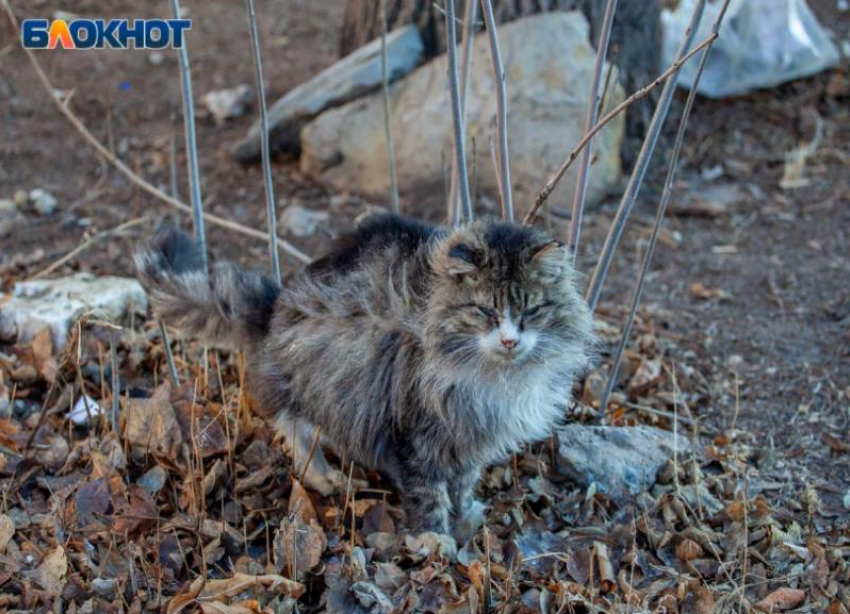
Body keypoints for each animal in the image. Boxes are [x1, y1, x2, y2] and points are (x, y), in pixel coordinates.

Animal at [136, 215, 592, 536]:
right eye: (484, 312)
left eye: (531, 311)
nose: (510, 340)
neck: (492, 378)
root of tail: (273, 307)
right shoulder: (418, 433)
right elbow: (429, 496)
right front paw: (437, 542)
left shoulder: (466, 435)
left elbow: (461, 486)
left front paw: (464, 521)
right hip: (317, 382)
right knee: (294, 427)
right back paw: (323, 476)